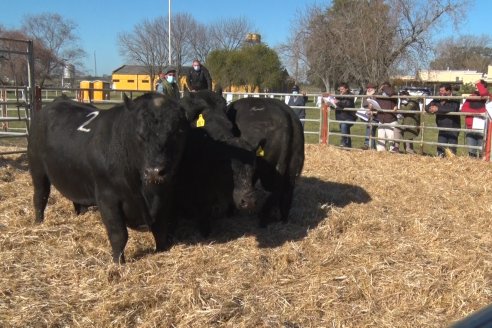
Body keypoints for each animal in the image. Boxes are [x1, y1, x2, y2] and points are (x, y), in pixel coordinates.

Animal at [27, 93, 188, 262]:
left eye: (177, 132)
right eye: (139, 134)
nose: (154, 171)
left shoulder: (165, 197)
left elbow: (161, 230)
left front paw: (161, 252)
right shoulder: (107, 198)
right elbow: (119, 235)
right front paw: (118, 262)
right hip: (37, 169)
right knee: (40, 196)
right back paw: (39, 222)